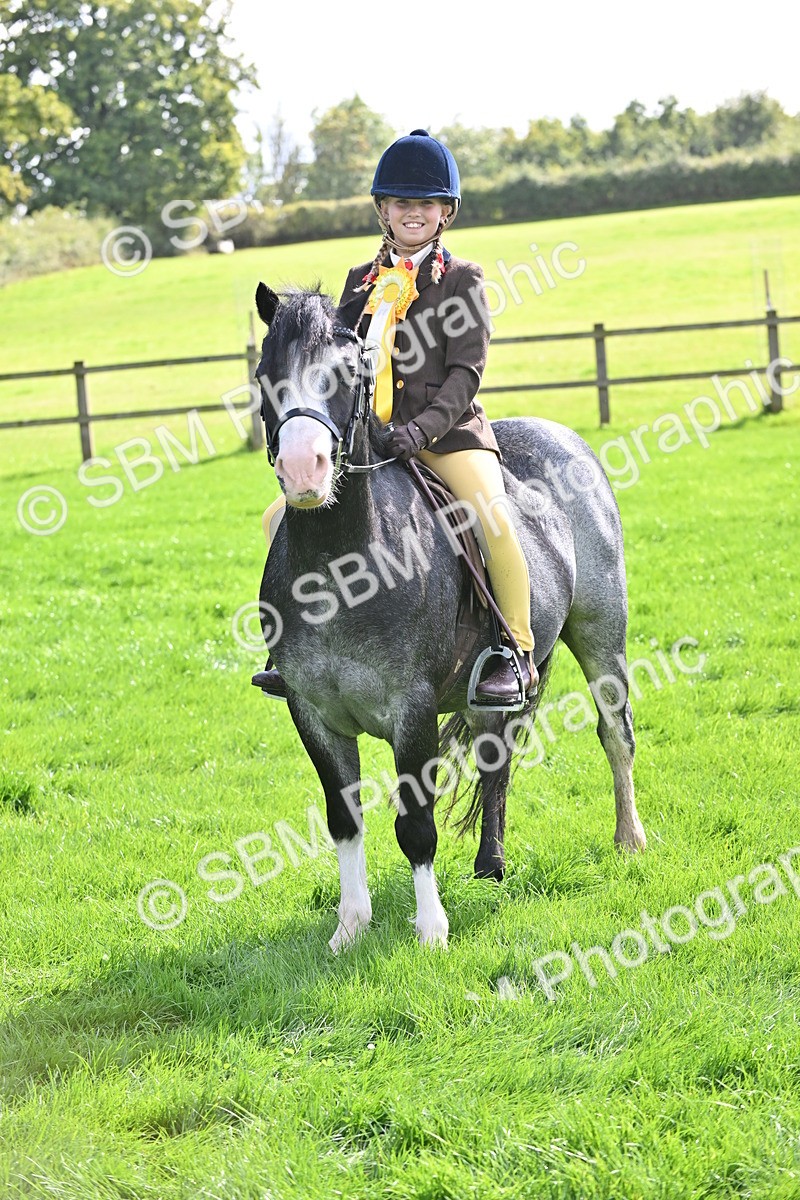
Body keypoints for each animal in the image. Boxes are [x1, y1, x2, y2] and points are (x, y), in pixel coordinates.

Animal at [253, 282, 646, 952]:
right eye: (264, 376)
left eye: (350, 372)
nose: (305, 470)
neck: (344, 564)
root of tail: (563, 437)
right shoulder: (313, 714)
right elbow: (344, 819)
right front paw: (350, 927)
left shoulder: (410, 712)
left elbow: (415, 824)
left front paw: (430, 931)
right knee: (497, 757)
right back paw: (491, 864)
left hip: (600, 635)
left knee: (614, 732)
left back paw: (629, 840)